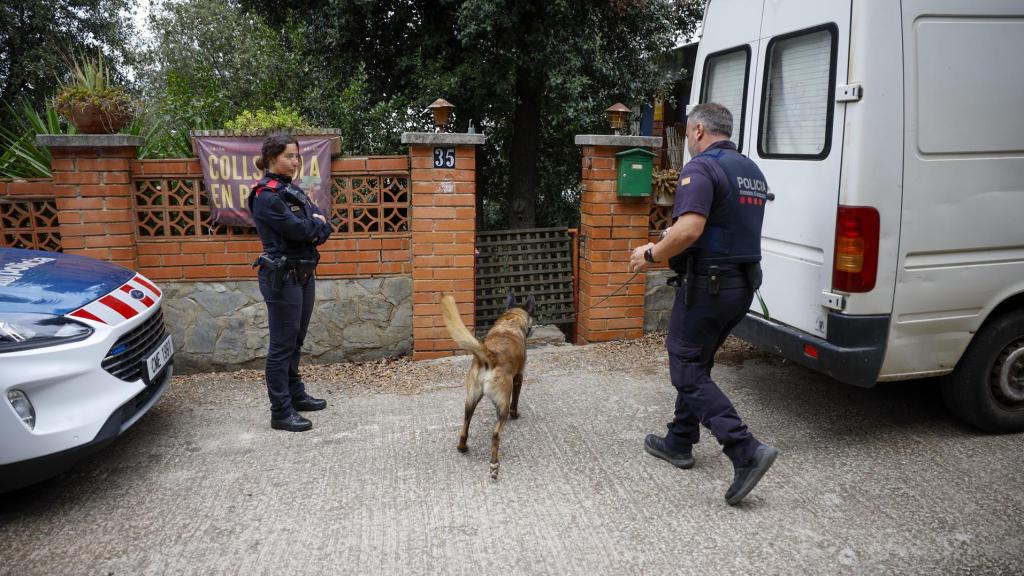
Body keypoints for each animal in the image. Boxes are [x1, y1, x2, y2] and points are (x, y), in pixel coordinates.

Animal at [440, 291, 536, 475]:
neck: (510, 321)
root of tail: (490, 356)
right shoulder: (518, 377)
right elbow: (515, 402)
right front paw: (516, 414)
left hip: (470, 400)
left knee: (465, 427)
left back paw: (462, 447)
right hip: (502, 404)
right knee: (496, 434)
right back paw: (494, 464)